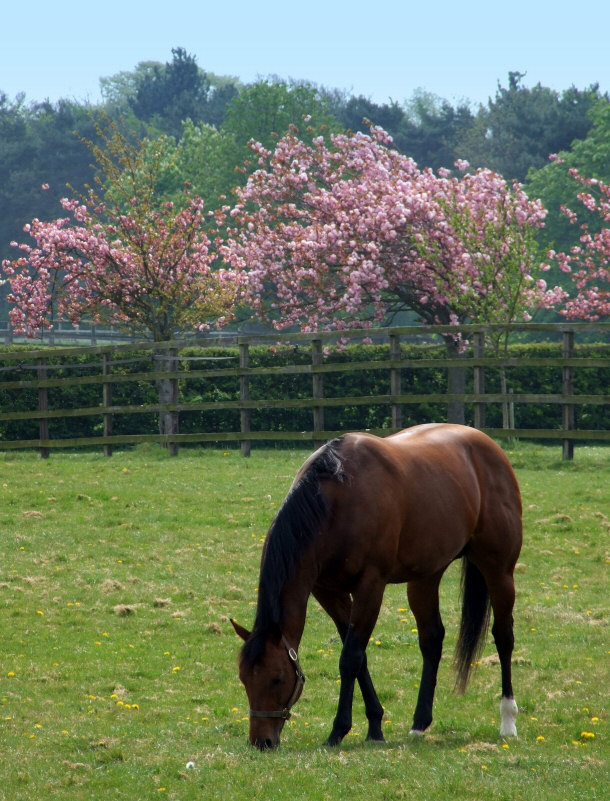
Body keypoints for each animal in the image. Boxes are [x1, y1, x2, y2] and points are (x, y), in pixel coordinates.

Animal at [230, 424, 520, 752]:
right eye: (244, 678)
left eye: (277, 678)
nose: (261, 741)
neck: (337, 497)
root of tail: (489, 446)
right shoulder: (328, 591)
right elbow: (359, 656)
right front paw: (375, 725)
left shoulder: (371, 585)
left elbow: (350, 658)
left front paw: (338, 730)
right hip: (425, 577)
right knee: (432, 639)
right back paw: (419, 724)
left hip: (499, 570)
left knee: (503, 636)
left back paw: (508, 720)